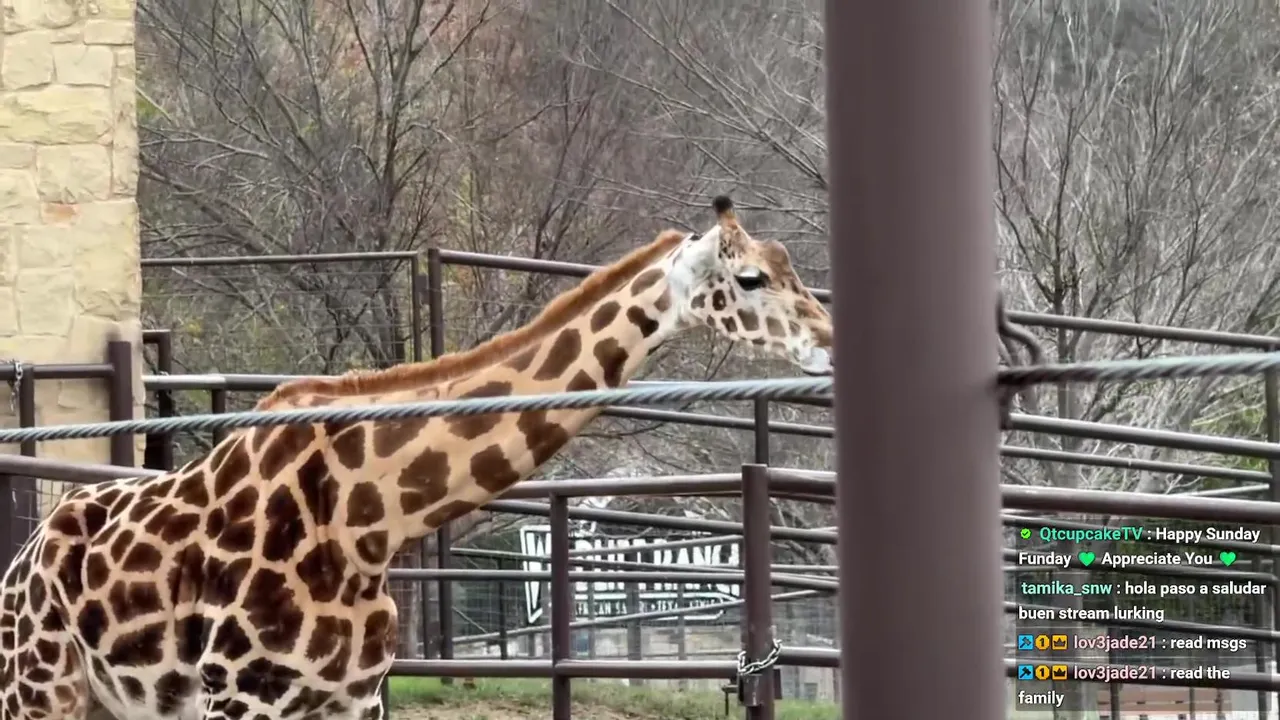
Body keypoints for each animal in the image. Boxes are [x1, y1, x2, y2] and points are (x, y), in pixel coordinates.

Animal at [0, 195, 833, 720]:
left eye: (791, 265)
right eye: (750, 277)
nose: (826, 343)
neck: (365, 519)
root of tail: (22, 562)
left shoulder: (351, 699)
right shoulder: (241, 697)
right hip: (40, 688)